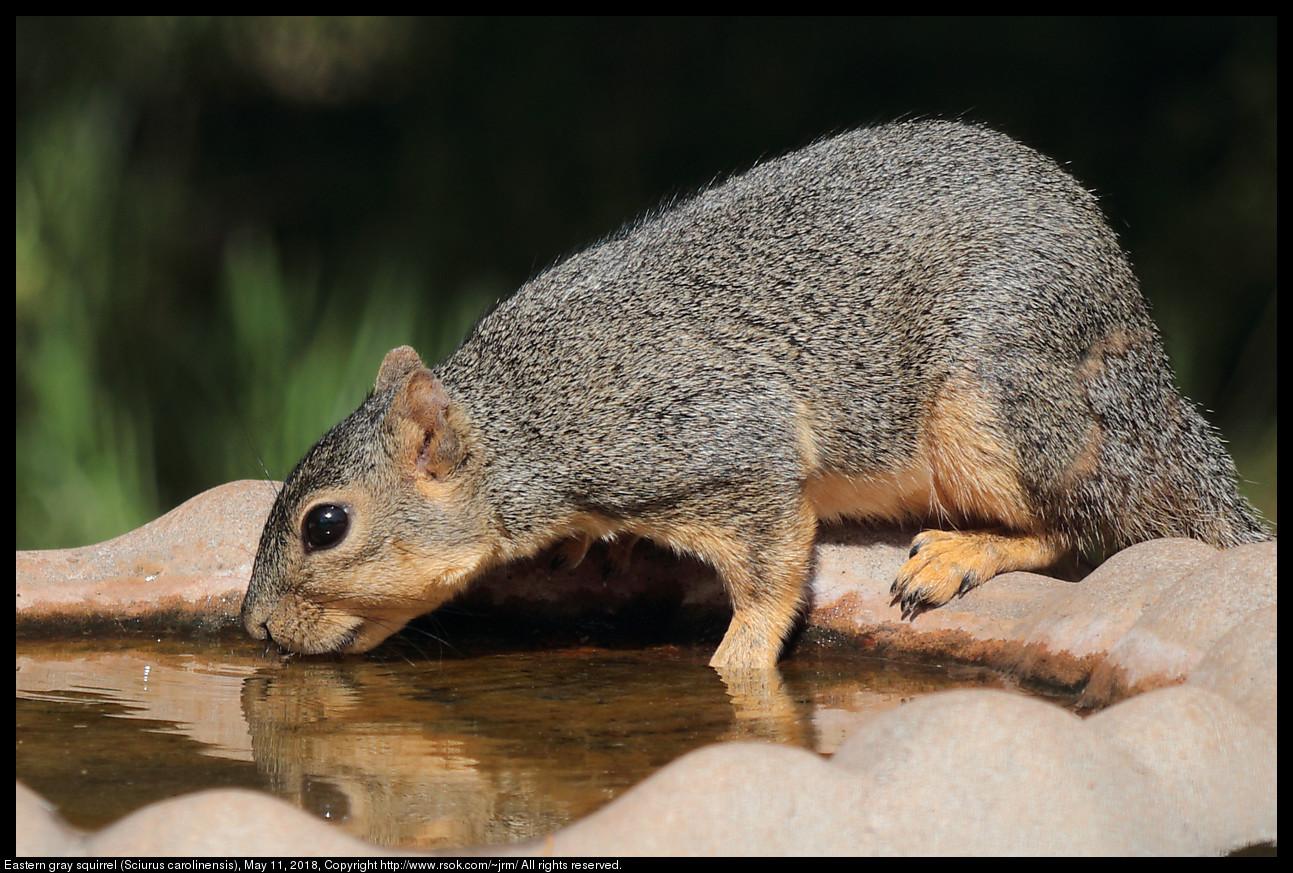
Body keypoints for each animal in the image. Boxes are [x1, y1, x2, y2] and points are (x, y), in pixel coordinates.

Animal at [237, 119, 1267, 672]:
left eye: (325, 525)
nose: (251, 626)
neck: (532, 417)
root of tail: (1151, 394)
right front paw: (583, 548)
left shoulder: (724, 449)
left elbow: (771, 577)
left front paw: (732, 667)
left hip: (997, 410)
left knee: (1077, 525)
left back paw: (961, 552)